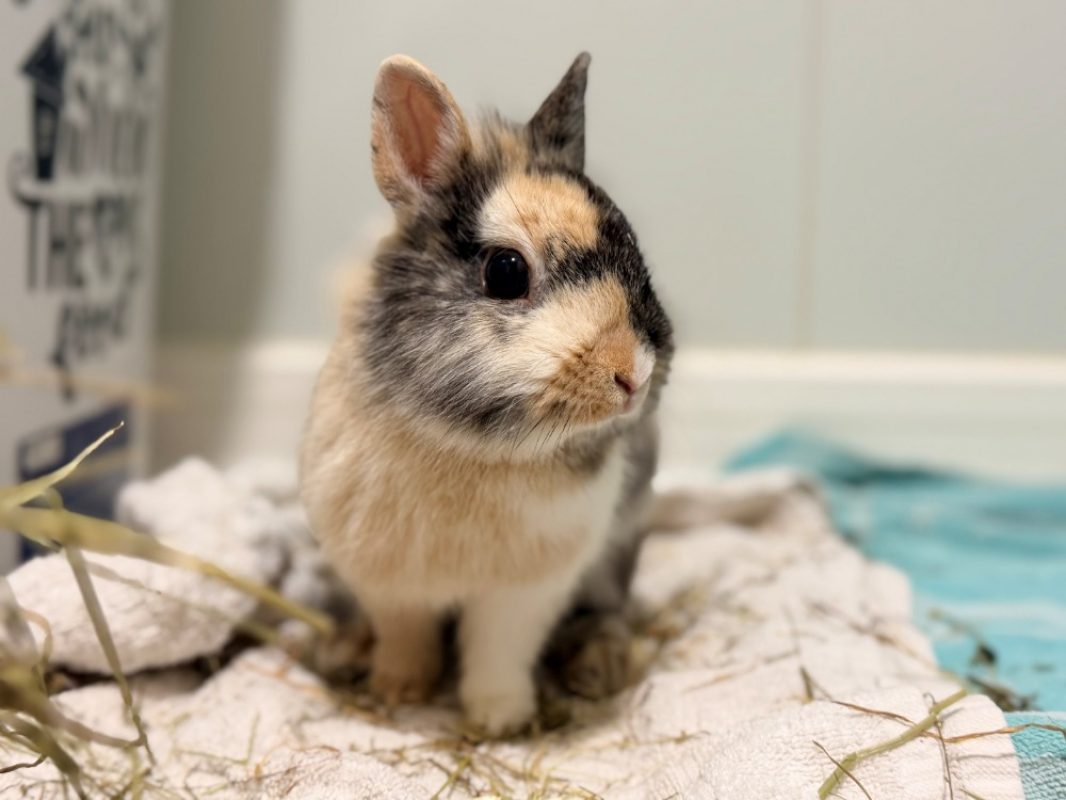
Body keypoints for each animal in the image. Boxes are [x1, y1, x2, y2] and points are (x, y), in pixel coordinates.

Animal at [299, 51, 673, 736]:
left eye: (633, 249)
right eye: (505, 271)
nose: (633, 373)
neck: (473, 446)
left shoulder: (524, 593)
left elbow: (499, 653)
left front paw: (499, 719)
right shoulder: (389, 581)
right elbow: (405, 635)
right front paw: (398, 690)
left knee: (607, 610)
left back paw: (597, 666)